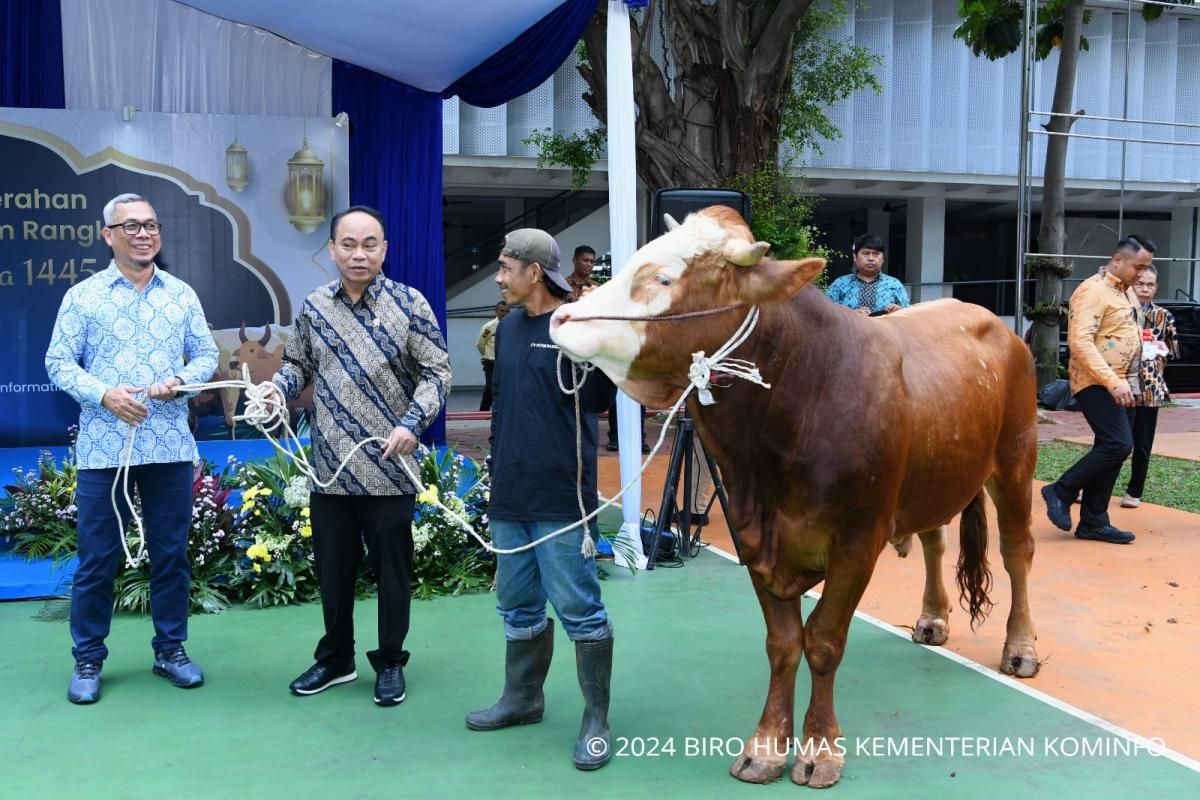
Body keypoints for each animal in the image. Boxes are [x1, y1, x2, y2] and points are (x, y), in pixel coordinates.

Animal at [549, 206, 1036, 786]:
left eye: (663, 279)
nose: (561, 318)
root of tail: (987, 318)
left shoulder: (858, 538)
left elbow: (822, 641)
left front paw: (820, 749)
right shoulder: (752, 534)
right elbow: (782, 644)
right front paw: (766, 746)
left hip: (1016, 457)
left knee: (1016, 551)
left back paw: (1020, 647)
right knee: (935, 540)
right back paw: (933, 618)